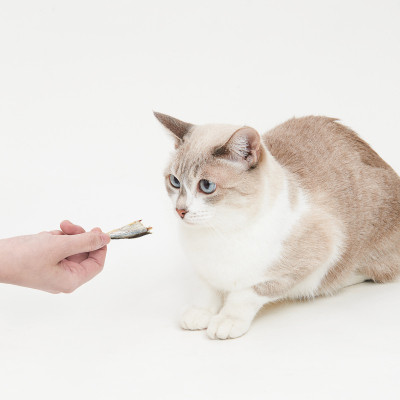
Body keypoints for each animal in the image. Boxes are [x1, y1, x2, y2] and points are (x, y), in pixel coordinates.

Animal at [154, 111, 400, 340]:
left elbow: (246, 293)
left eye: (206, 186)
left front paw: (227, 320)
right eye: (174, 181)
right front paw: (199, 312)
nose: (180, 210)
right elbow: (206, 290)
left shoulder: (317, 251)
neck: (219, 230)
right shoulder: (205, 270)